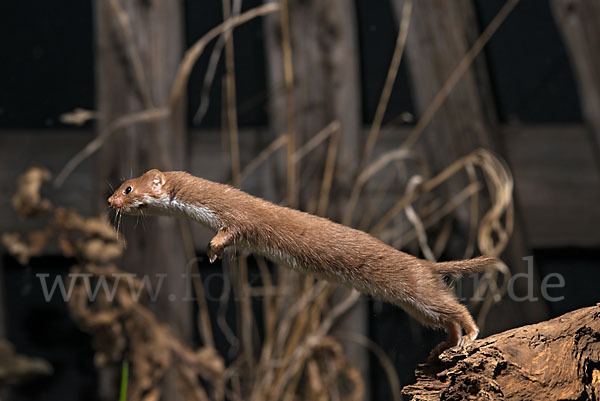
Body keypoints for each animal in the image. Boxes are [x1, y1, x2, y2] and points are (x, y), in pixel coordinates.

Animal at [109, 170, 506, 350]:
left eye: (128, 189)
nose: (110, 201)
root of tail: (424, 263)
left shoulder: (239, 219)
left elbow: (230, 232)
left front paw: (212, 250)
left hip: (417, 289)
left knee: (456, 309)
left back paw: (470, 335)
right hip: (416, 306)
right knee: (443, 317)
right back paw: (447, 344)